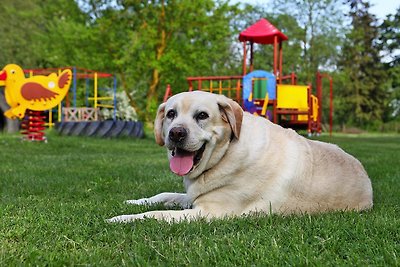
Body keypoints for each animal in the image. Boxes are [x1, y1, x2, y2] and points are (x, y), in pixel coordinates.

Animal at [108, 91, 374, 223]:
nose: (176, 133)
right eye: (171, 114)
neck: (225, 154)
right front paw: (134, 202)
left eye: (202, 115)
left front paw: (122, 218)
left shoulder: (208, 213)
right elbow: (163, 196)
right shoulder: (193, 198)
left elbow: (156, 215)